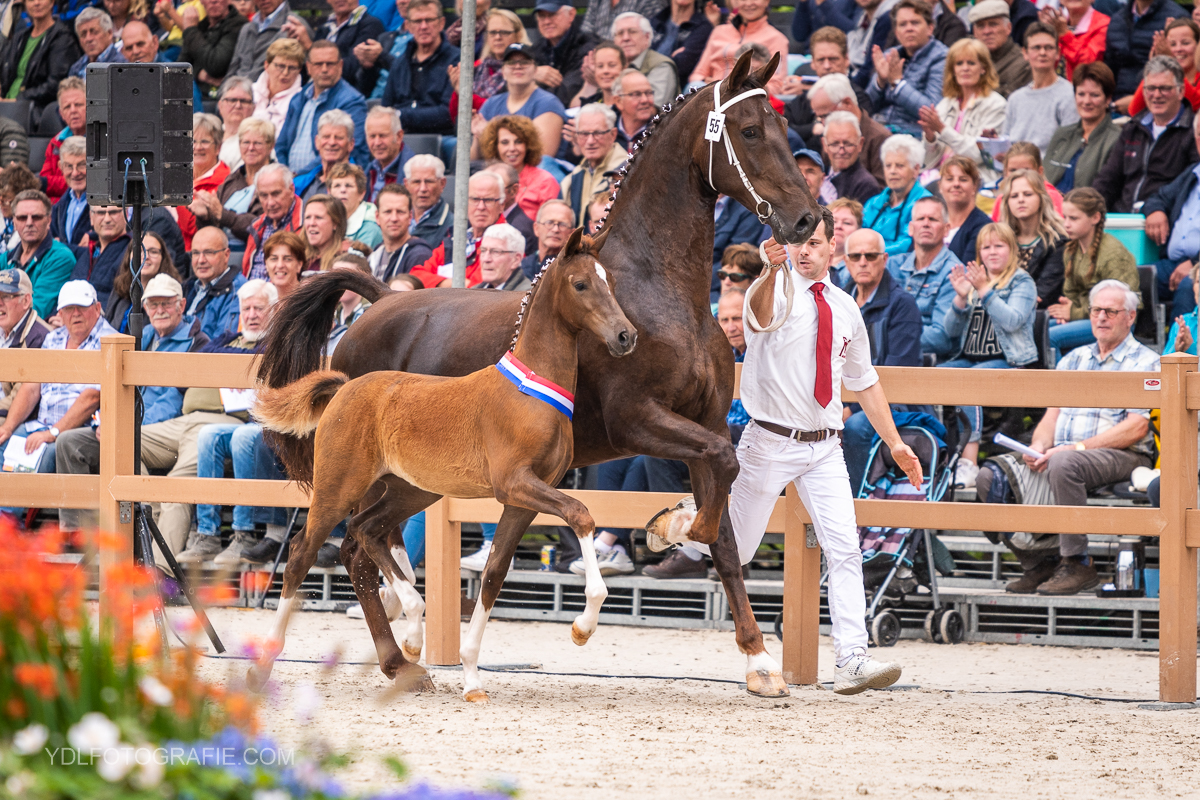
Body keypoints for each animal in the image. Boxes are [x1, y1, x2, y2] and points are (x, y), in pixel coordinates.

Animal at [249, 229, 636, 700]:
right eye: (581, 284)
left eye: (610, 282)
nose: (625, 336)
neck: (531, 390)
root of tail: (344, 387)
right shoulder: (515, 484)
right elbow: (581, 515)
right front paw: (583, 625)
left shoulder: (524, 499)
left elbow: (493, 574)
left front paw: (471, 676)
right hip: (338, 487)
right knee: (304, 553)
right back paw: (272, 661)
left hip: (410, 490)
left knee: (364, 534)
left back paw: (408, 646)